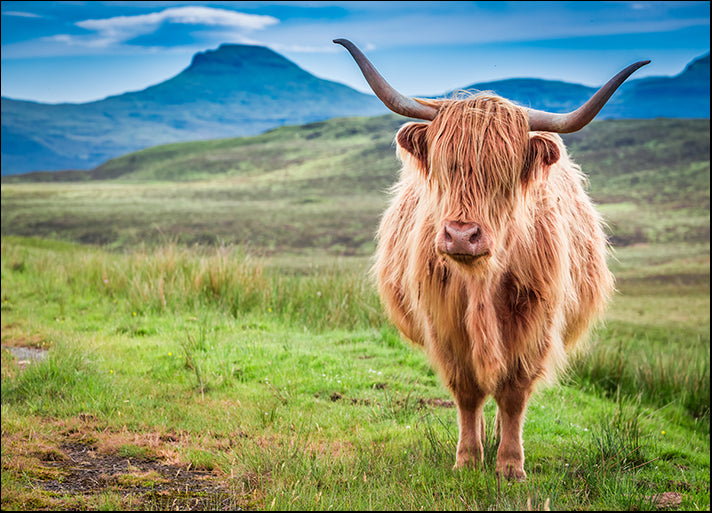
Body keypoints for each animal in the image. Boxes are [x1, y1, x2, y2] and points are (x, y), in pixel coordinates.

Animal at [334, 38, 649, 481]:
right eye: (444, 168)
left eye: (504, 173)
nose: (461, 236)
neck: (481, 281)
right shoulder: (444, 325)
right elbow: (467, 392)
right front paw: (468, 458)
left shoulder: (534, 325)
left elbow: (514, 394)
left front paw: (510, 465)